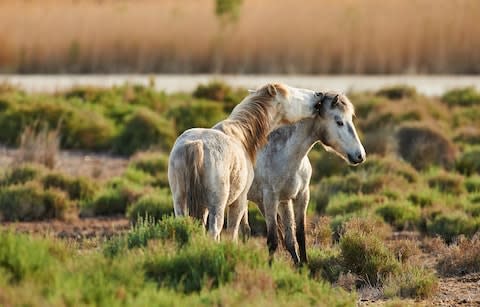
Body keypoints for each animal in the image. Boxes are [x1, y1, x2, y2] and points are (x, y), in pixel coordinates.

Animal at [169, 83, 326, 242]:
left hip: (181, 201)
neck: (242, 136)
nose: (318, 94)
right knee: (214, 230)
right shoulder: (239, 201)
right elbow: (233, 232)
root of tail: (196, 145)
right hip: (217, 206)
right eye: (291, 92)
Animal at [248, 91, 364, 264]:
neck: (287, 156)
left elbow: (299, 236)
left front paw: (303, 267)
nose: (360, 155)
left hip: (273, 203)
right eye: (339, 122)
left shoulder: (301, 197)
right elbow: (273, 241)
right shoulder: (270, 199)